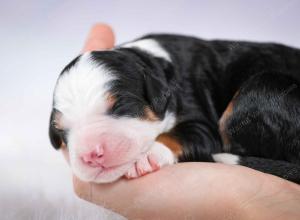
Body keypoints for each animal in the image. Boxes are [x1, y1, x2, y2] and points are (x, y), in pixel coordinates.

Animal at [48, 33, 300, 183]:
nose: (91, 155)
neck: (150, 60)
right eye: (61, 132)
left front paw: (146, 156)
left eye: (121, 105)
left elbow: (180, 134)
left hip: (260, 89)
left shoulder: (200, 121)